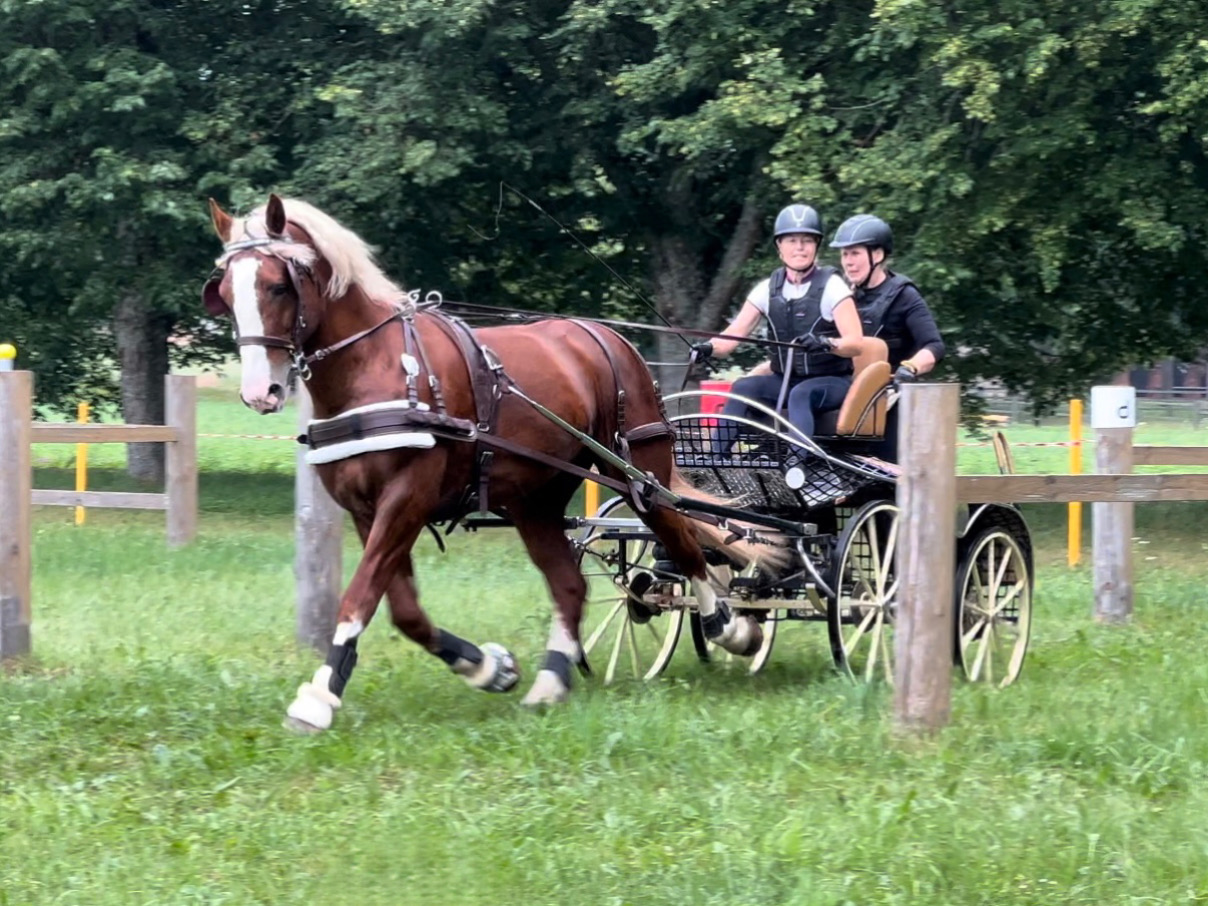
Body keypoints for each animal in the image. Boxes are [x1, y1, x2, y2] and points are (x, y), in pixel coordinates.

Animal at [204, 195, 773, 734]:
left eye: (278, 286)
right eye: (227, 291)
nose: (259, 392)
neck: (376, 366)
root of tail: (607, 338)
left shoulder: (407, 498)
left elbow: (360, 595)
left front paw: (318, 698)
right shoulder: (365, 511)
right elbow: (404, 611)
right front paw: (490, 668)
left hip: (639, 474)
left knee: (682, 541)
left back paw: (733, 628)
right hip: (535, 499)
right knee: (571, 584)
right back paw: (550, 681)